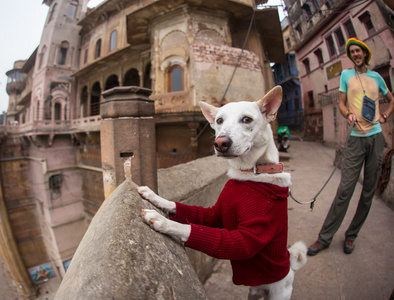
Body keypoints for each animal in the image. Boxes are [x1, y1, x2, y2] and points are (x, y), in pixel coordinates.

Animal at [139, 85, 308, 298]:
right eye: (219, 121)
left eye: (247, 119)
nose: (220, 143)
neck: (251, 172)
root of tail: (290, 267)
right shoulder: (216, 213)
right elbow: (181, 208)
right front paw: (152, 196)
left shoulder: (245, 240)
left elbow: (190, 229)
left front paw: (161, 221)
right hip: (253, 293)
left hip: (280, 292)